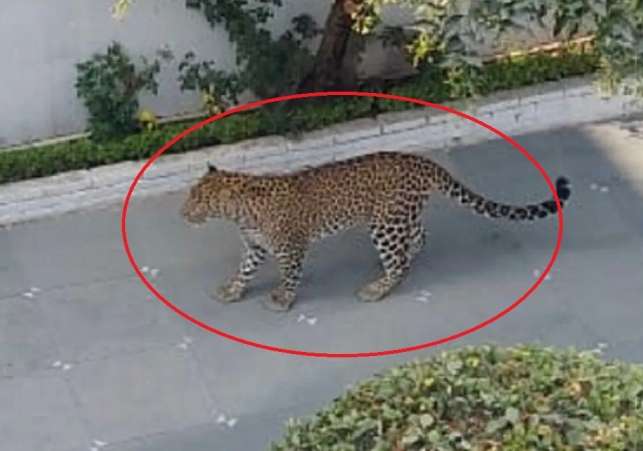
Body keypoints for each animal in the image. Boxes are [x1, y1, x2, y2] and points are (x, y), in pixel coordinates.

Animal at [181, 150, 571, 312]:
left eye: (198, 199)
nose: (183, 213)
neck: (240, 213)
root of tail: (422, 162)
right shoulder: (255, 246)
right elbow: (244, 270)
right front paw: (232, 290)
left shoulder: (291, 247)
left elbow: (290, 274)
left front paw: (283, 300)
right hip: (395, 217)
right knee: (418, 237)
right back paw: (398, 262)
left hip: (385, 224)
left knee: (399, 263)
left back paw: (377, 288)